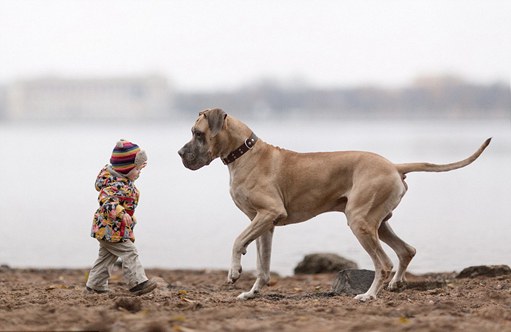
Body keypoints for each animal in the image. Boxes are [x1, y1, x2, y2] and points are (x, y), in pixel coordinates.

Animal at [179, 108, 492, 300]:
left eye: (197, 133)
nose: (180, 153)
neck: (244, 152)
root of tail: (393, 165)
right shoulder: (265, 224)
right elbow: (263, 265)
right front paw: (252, 292)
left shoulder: (268, 214)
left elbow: (236, 241)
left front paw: (234, 271)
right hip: (379, 222)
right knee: (406, 250)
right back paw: (394, 284)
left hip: (360, 222)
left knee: (384, 262)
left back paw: (369, 295)